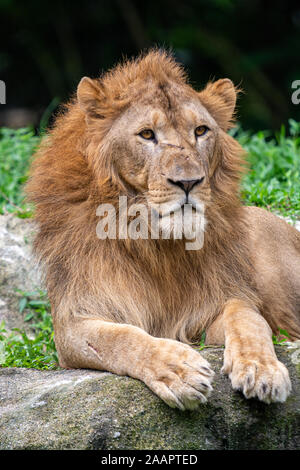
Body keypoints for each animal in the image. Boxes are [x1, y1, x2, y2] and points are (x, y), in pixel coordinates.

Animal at [25, 51, 300, 410]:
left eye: (201, 130)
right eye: (146, 135)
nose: (188, 182)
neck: (156, 242)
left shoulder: (216, 305)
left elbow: (248, 318)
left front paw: (261, 368)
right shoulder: (74, 321)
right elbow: (120, 338)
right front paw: (178, 370)